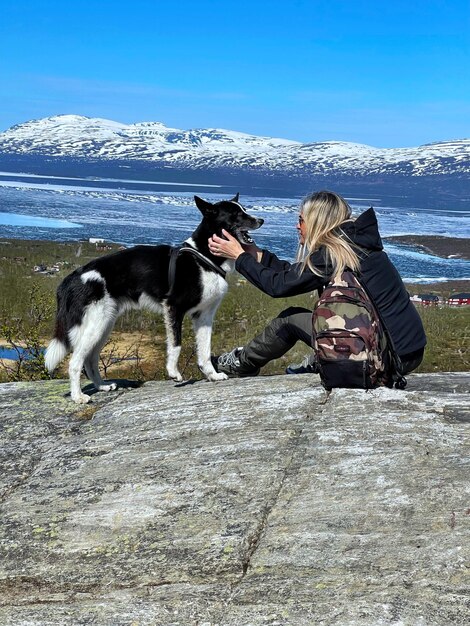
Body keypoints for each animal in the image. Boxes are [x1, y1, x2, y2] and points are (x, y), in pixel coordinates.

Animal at [45, 193, 262, 402]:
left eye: (244, 210)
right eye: (235, 214)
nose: (261, 220)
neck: (203, 257)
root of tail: (71, 278)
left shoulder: (204, 317)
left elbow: (205, 351)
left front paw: (212, 375)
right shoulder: (174, 308)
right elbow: (176, 344)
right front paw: (173, 372)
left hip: (104, 325)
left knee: (90, 360)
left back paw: (102, 386)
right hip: (94, 326)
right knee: (75, 362)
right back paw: (78, 397)